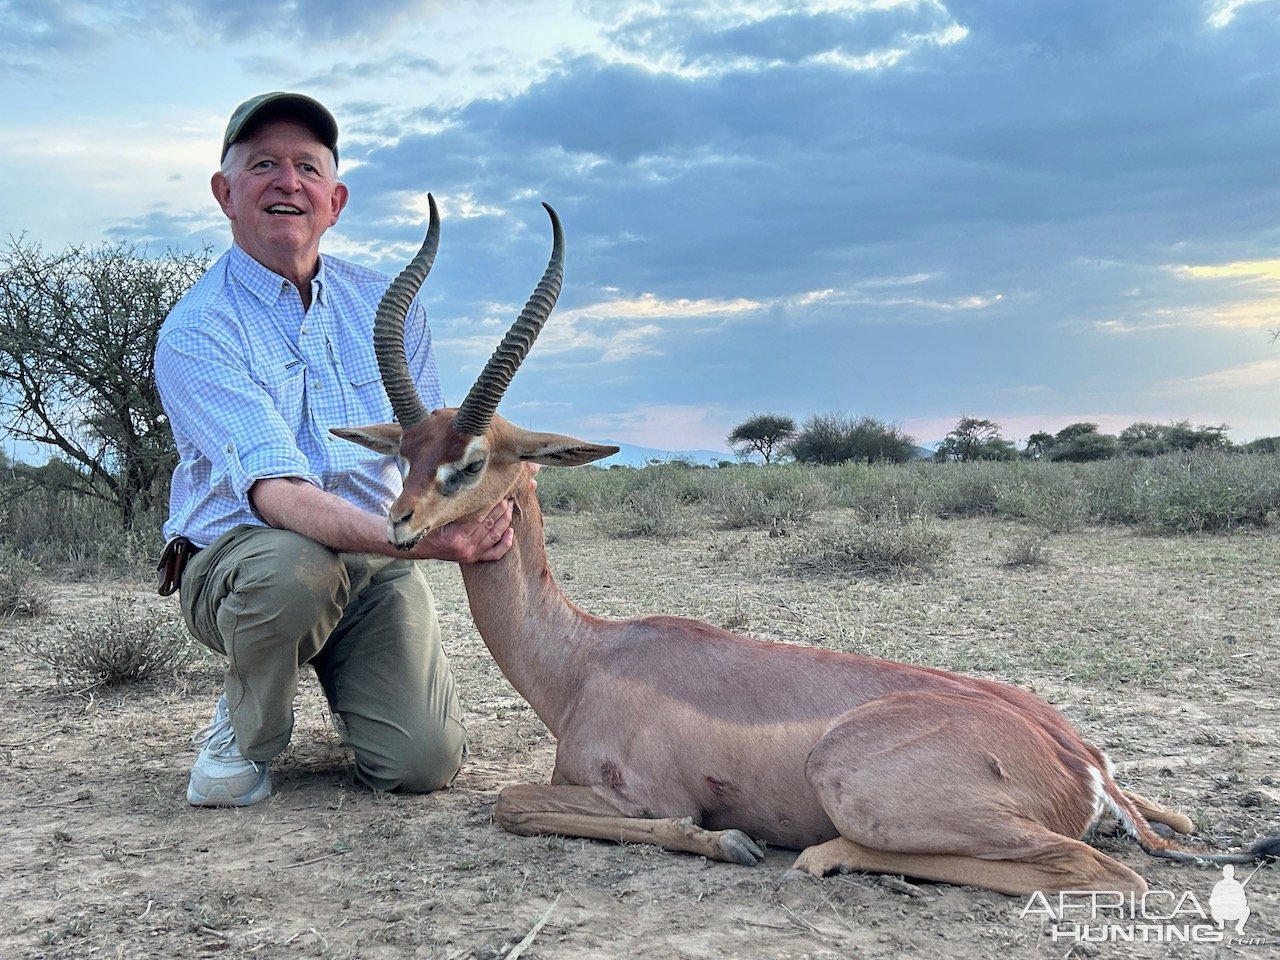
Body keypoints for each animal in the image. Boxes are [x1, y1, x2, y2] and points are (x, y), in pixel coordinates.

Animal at [337, 197, 1280, 901]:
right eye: (403, 451)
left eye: (470, 461)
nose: (399, 525)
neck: (586, 660)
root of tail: (1073, 757)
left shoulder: (636, 792)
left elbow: (514, 804)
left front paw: (732, 843)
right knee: (1170, 827)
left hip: (864, 789)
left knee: (1103, 871)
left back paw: (820, 856)